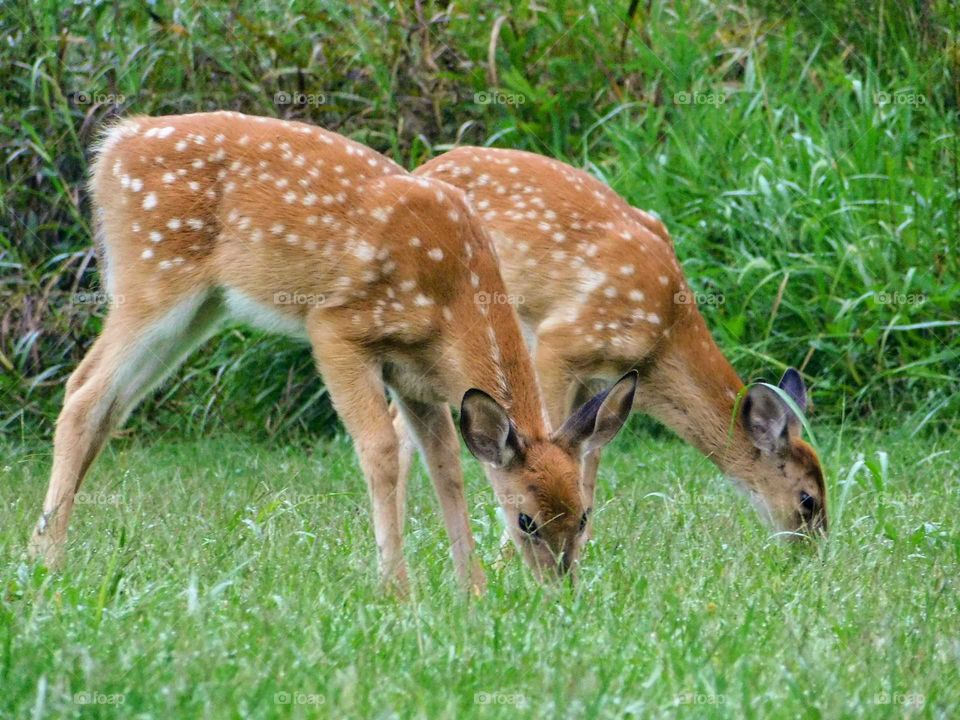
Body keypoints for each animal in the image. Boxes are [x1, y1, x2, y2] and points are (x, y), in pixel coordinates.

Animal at [27, 113, 639, 592]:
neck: (453, 295)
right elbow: (381, 451)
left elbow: (447, 469)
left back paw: (41, 550)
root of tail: (114, 145)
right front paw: (396, 589)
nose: (560, 588)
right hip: (154, 277)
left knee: (107, 400)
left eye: (583, 515)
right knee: (84, 391)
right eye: (526, 520)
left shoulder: (417, 379)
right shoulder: (337, 329)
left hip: (200, 308)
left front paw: (473, 592)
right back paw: (48, 563)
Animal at [406, 146, 827, 539]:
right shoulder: (562, 339)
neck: (664, 338)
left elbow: (589, 456)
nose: (812, 553)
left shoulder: (600, 382)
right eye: (808, 499)